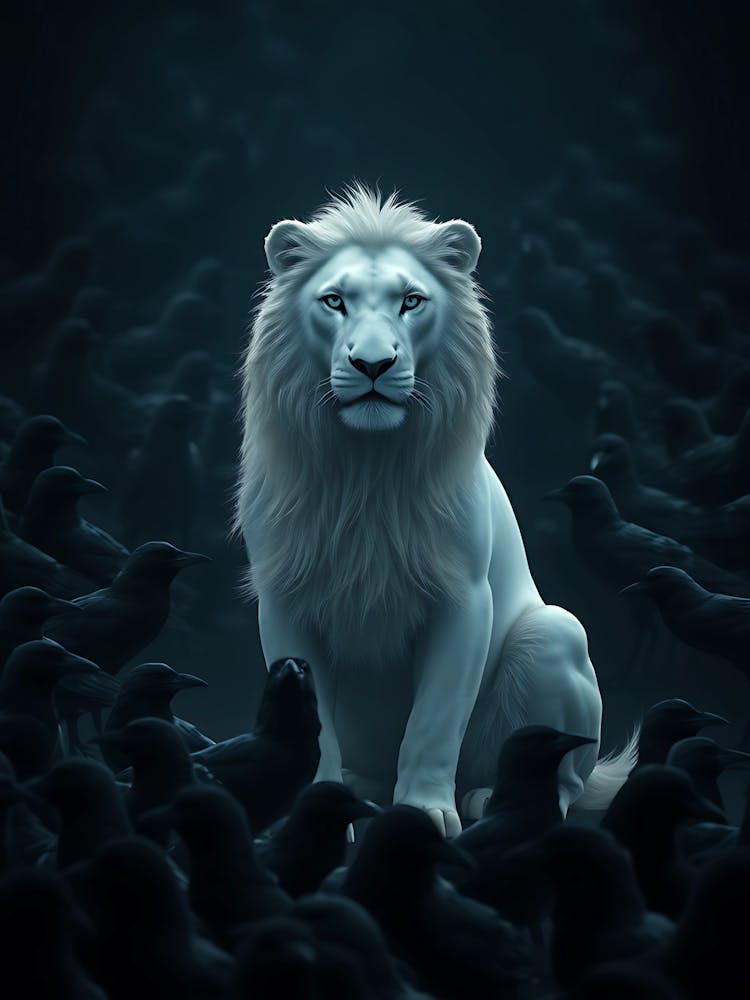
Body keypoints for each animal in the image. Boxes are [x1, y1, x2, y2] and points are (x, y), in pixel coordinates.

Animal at [234, 182, 636, 837]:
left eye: (412, 301)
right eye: (334, 301)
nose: (374, 365)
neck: (367, 471)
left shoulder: (463, 596)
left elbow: (436, 718)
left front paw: (425, 810)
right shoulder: (286, 596)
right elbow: (312, 722)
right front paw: (321, 805)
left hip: (556, 633)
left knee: (568, 776)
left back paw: (488, 799)